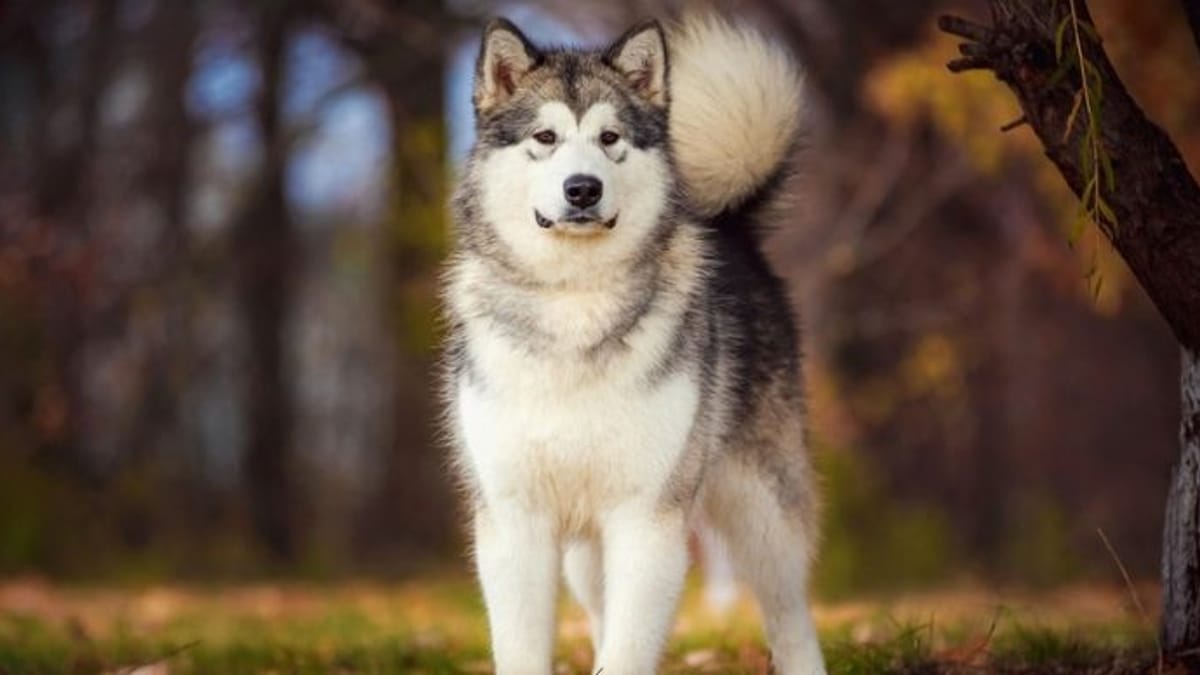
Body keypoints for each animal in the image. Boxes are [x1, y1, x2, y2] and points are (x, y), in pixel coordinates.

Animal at [442, 12, 824, 675]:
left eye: (610, 137)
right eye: (545, 136)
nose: (583, 189)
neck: (574, 302)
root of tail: (731, 226)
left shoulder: (648, 520)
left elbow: (629, 647)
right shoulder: (515, 523)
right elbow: (526, 646)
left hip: (762, 511)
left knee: (791, 615)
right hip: (584, 551)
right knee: (599, 613)